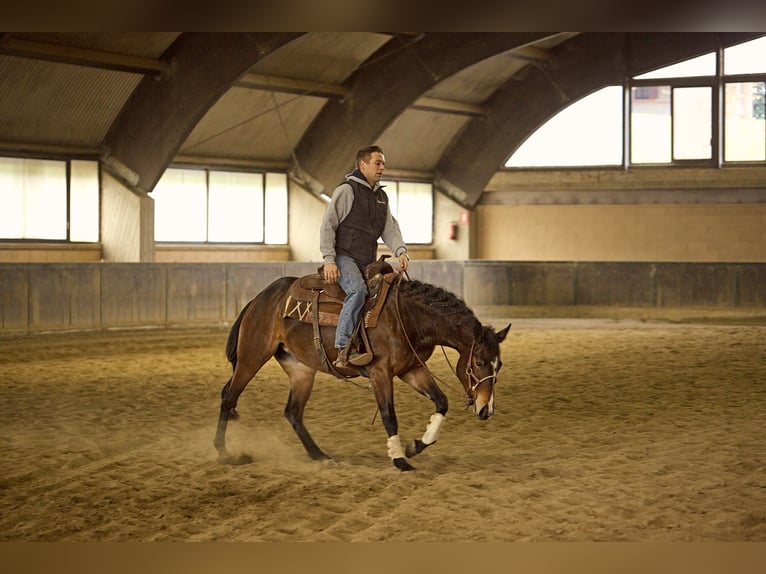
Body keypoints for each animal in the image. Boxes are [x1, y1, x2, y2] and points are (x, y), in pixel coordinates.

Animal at [216, 266, 512, 472]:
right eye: (478, 362)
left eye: (499, 364)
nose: (486, 410)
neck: (407, 317)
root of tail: (260, 298)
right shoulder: (381, 373)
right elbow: (389, 416)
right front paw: (399, 459)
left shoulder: (412, 369)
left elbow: (441, 402)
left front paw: (415, 446)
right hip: (252, 356)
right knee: (229, 396)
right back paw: (224, 452)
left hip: (301, 370)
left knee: (293, 412)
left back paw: (320, 456)